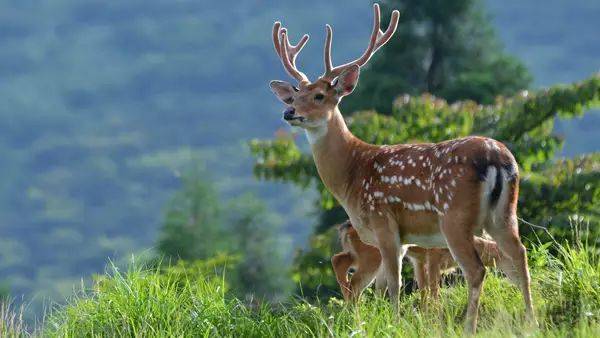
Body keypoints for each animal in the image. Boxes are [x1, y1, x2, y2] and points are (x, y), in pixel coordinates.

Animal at [330, 220, 516, 302]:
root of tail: (345, 227)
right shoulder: (432, 257)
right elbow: (433, 290)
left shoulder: (419, 260)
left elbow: (423, 290)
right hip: (372, 256)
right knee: (355, 283)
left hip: (359, 254)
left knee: (338, 260)